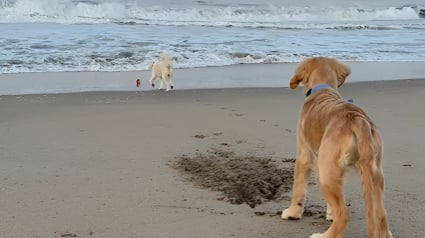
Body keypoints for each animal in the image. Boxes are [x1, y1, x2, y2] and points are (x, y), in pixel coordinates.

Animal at [282, 57, 390, 238]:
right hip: (375, 174)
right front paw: (329, 214)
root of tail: (357, 119)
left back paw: (324, 235)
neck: (323, 89)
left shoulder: (304, 154)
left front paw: (292, 212)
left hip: (326, 173)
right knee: (380, 215)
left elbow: (299, 187)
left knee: (344, 214)